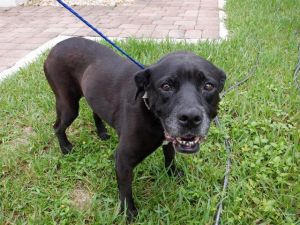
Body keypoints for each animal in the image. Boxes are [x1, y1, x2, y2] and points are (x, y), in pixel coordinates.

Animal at [44, 37, 225, 220]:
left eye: (208, 86)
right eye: (166, 86)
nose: (190, 118)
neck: (150, 111)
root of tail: (56, 47)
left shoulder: (168, 141)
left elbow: (170, 158)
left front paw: (173, 175)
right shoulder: (123, 159)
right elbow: (125, 191)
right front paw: (129, 213)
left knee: (95, 112)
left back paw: (102, 133)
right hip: (68, 105)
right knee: (57, 126)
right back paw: (65, 148)